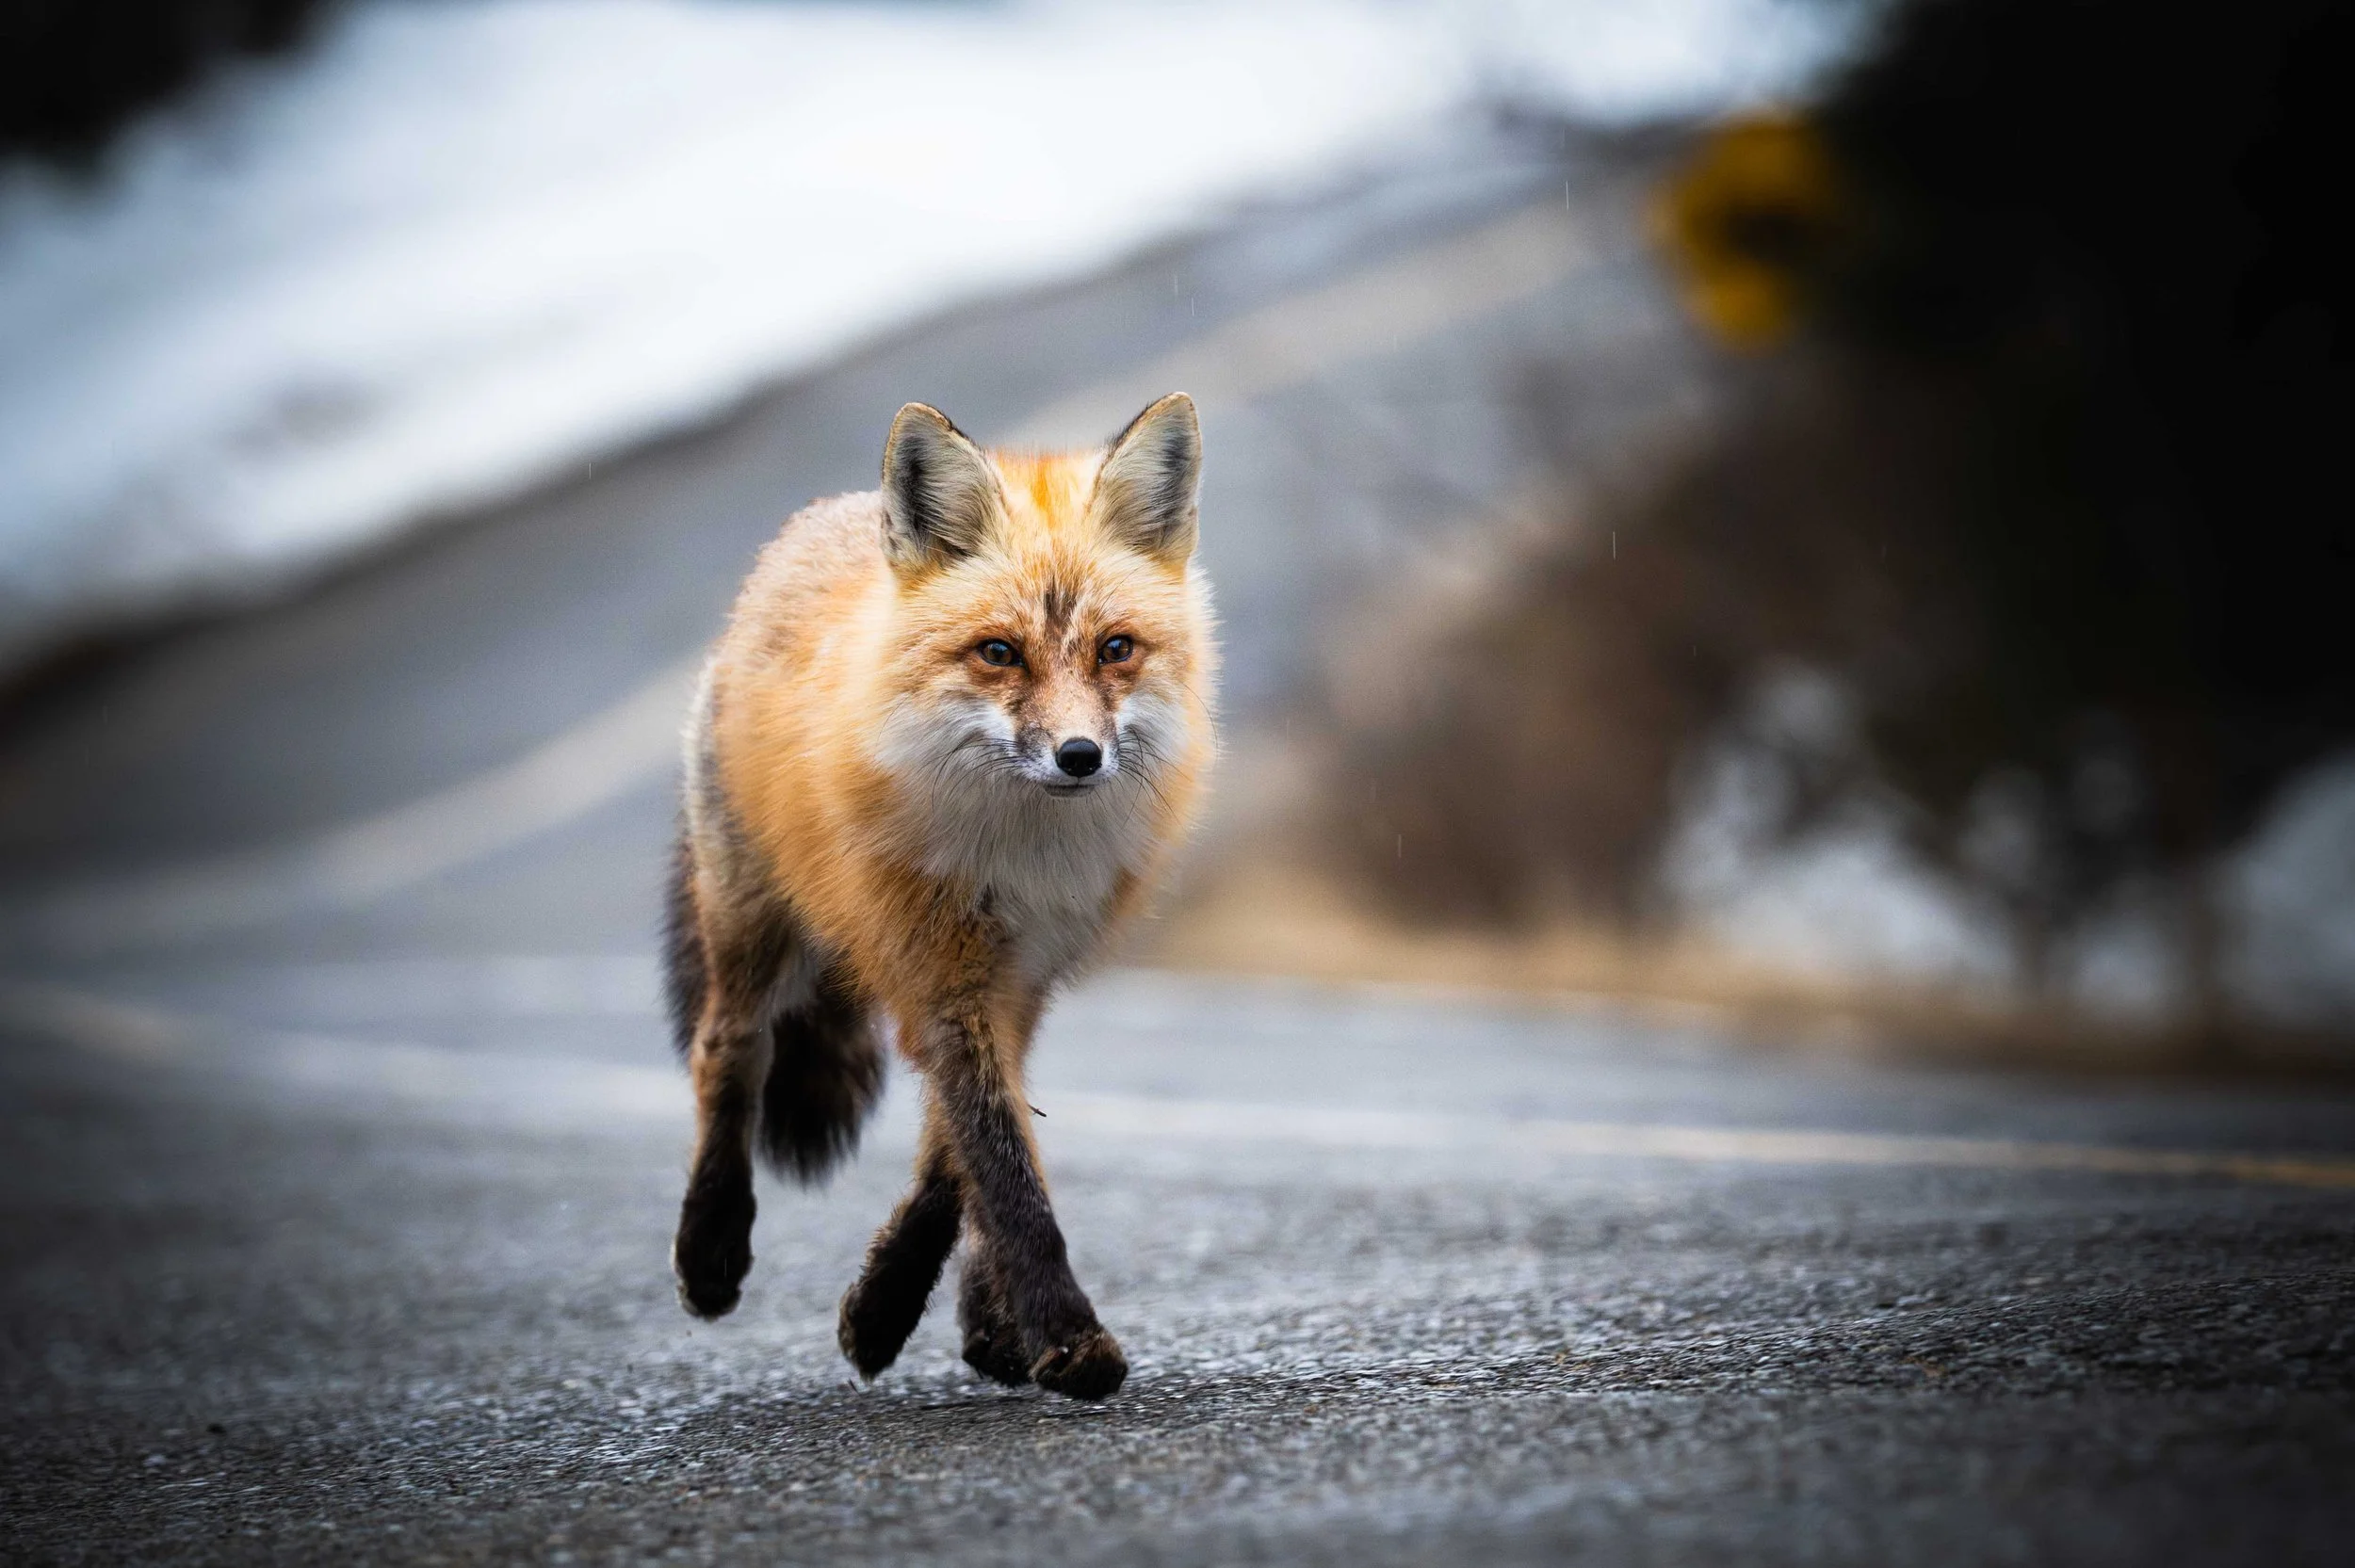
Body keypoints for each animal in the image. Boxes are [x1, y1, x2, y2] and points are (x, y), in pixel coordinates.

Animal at [663, 393, 1214, 1401]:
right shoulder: (940, 971)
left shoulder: (1022, 976)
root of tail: (817, 521)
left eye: (1116, 649)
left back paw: (983, 1327)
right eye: (999, 653)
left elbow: (961, 1162)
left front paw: (898, 1308)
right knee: (729, 1052)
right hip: (751, 919)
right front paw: (1069, 1338)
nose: (1080, 756)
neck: (1021, 858)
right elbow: (1001, 1168)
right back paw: (710, 1246)